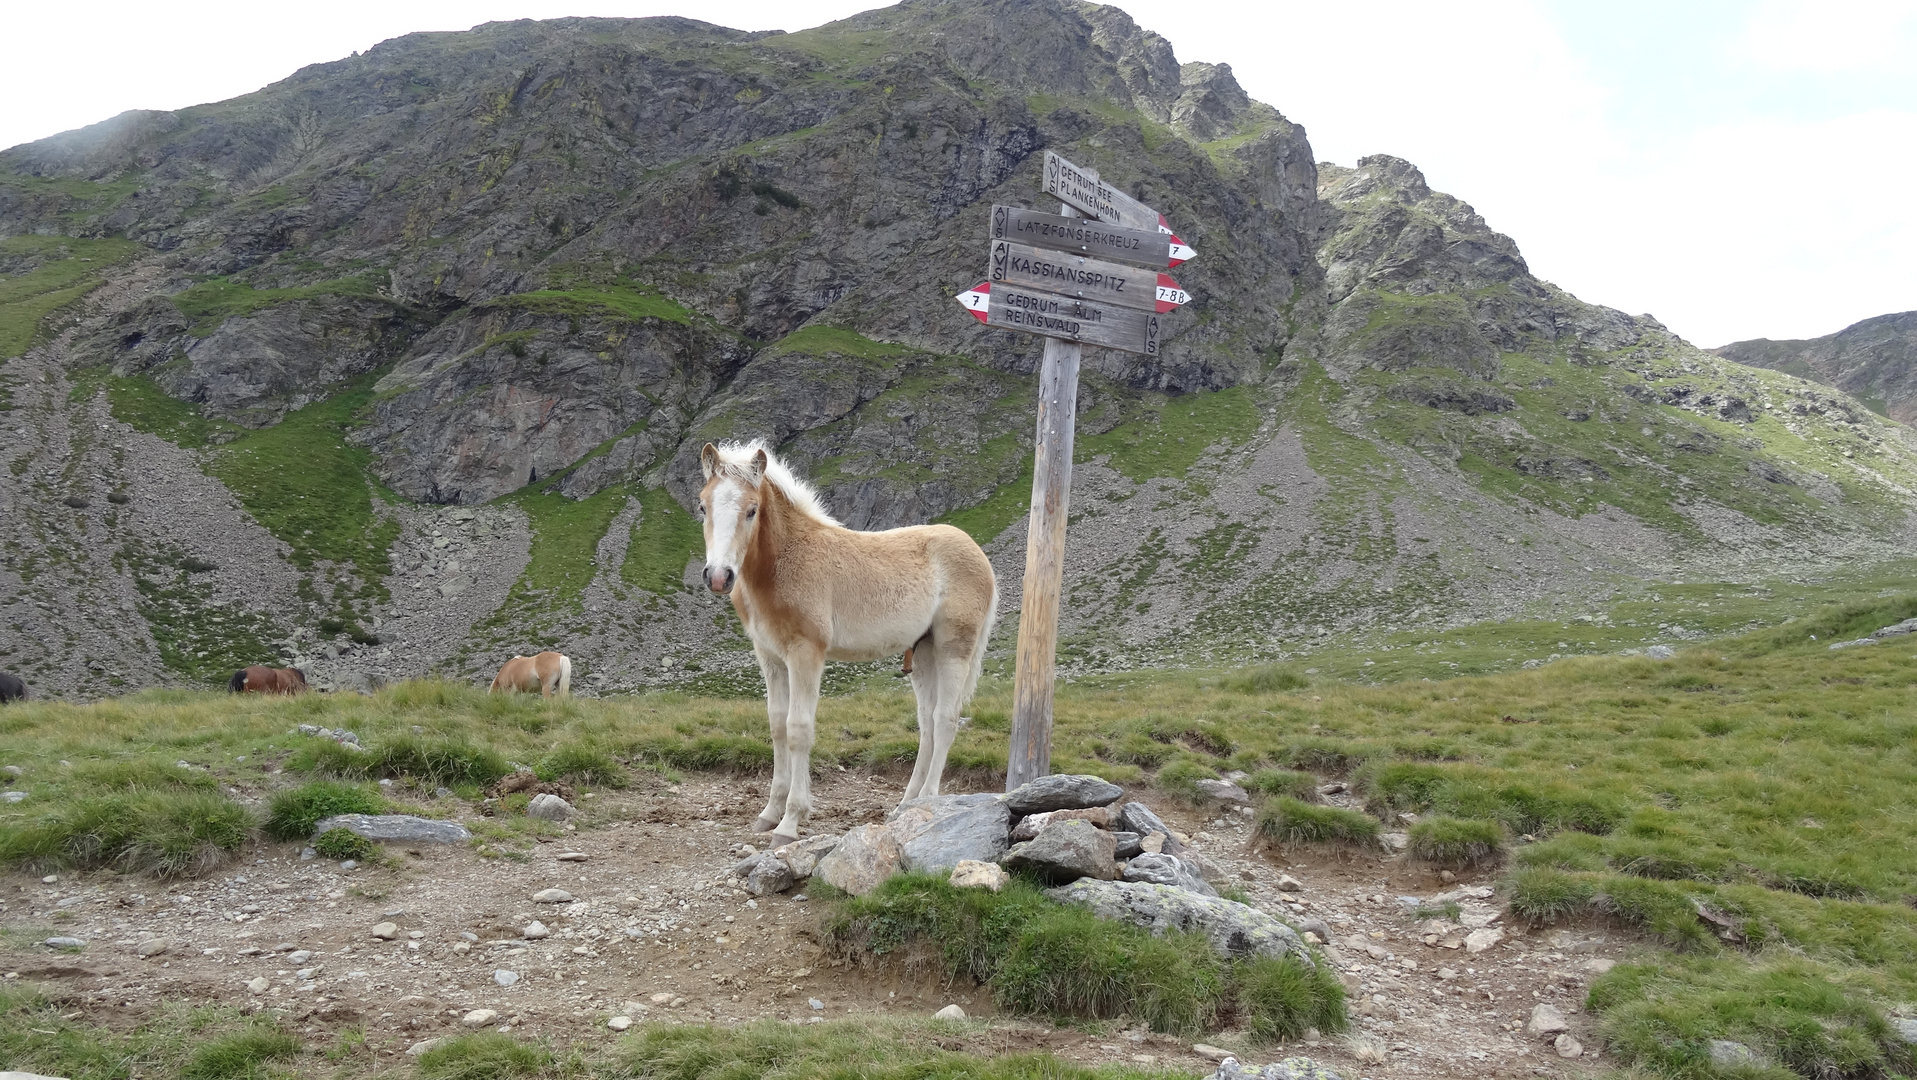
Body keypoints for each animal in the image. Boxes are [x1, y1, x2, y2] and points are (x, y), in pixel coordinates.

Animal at [705, 439, 1004, 844]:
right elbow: (777, 725)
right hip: (923, 653)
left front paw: (790, 821)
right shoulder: (770, 657)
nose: (719, 576)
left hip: (953, 648)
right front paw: (769, 813)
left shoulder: (806, 653)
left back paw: (928, 801)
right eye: (702, 506)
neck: (786, 560)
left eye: (752, 510)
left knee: (945, 719)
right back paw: (905, 805)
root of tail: (979, 555)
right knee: (926, 721)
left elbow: (799, 729)